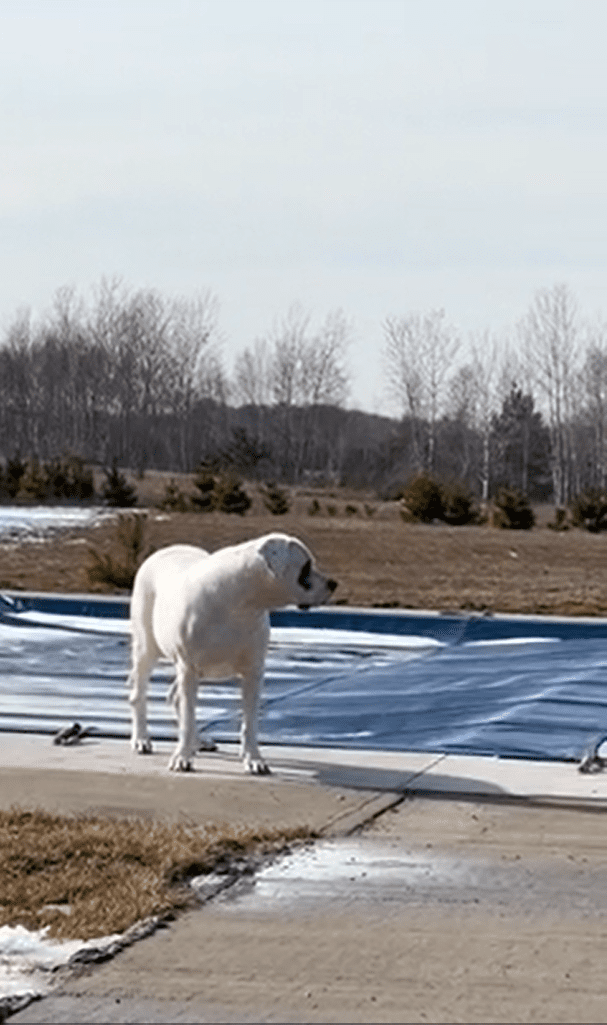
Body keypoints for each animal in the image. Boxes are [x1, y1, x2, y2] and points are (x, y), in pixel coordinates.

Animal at [128, 533, 336, 770]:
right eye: (306, 567)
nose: (333, 584)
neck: (240, 602)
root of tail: (163, 551)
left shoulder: (253, 672)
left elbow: (250, 721)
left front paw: (254, 759)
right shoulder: (189, 668)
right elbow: (188, 717)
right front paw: (182, 757)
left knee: (176, 698)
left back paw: (197, 742)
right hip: (147, 650)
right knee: (140, 695)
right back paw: (141, 739)